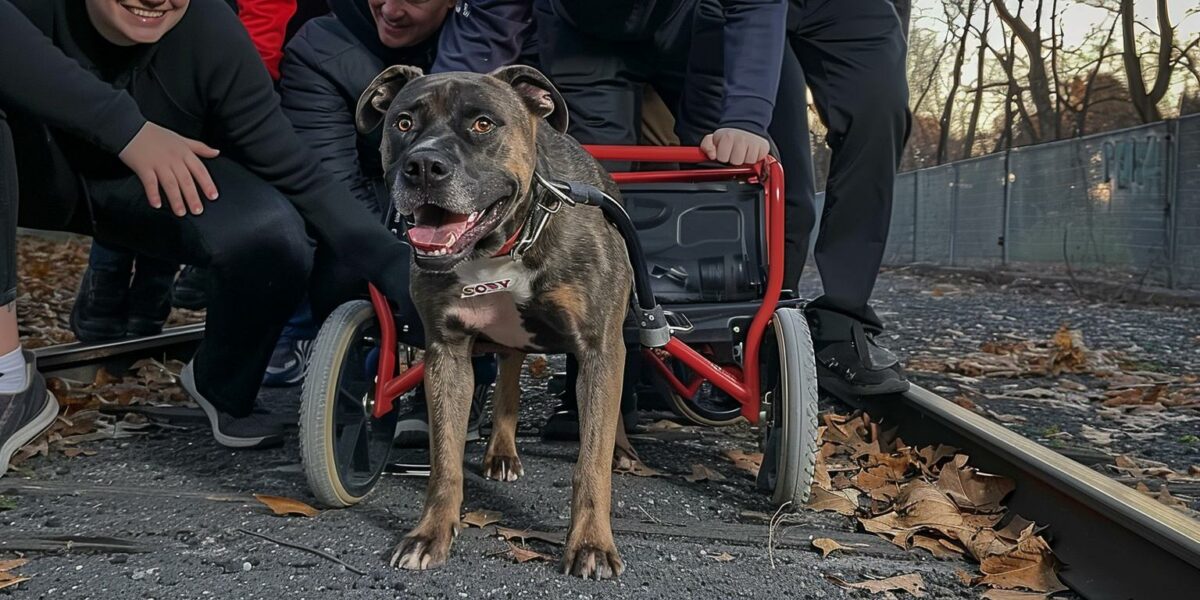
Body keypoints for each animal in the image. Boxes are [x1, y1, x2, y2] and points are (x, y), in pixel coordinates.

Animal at [355, 64, 633, 576]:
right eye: (403, 123)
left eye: (483, 124)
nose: (424, 166)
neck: (502, 248)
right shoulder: (446, 353)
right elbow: (444, 460)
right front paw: (430, 532)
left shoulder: (600, 347)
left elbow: (591, 460)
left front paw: (590, 542)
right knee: (508, 377)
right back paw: (501, 450)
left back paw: (623, 450)